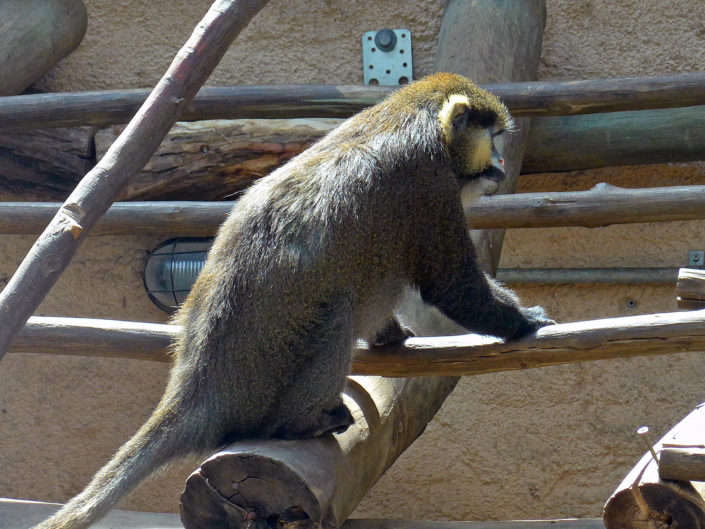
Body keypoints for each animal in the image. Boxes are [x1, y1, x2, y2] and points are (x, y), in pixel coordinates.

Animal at [31, 73, 552, 528]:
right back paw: (303, 422)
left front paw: (393, 337)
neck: (412, 116)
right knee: (339, 313)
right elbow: (451, 283)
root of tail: (198, 392)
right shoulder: (426, 183)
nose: (500, 163)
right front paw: (525, 321)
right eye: (492, 138)